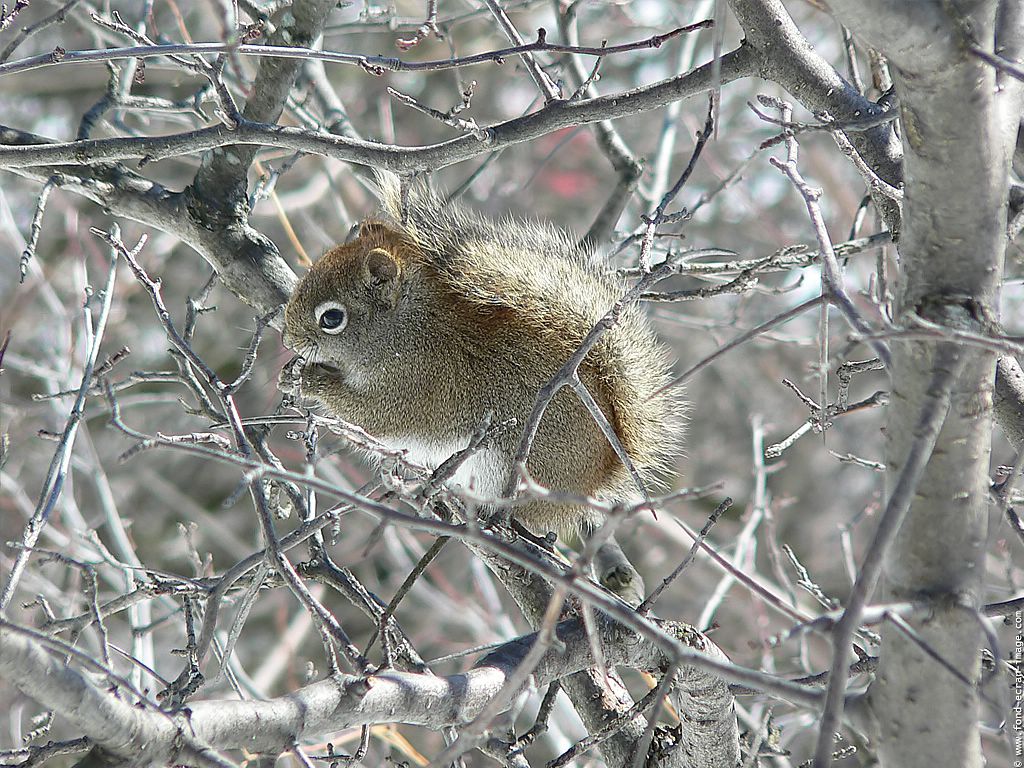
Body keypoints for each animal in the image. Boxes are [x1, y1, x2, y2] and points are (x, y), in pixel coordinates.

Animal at [280, 176, 684, 606]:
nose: (288, 339)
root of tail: (597, 478)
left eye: (332, 318)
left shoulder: (414, 383)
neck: (408, 326)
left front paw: (312, 380)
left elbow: (372, 416)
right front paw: (290, 374)